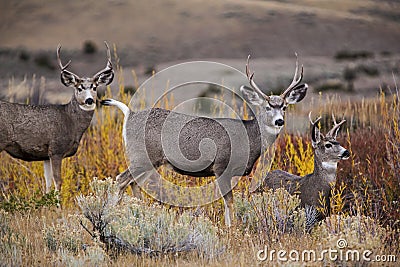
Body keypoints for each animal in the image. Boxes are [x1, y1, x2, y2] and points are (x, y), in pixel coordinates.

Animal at [0, 41, 114, 193]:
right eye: (79, 88)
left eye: (95, 87)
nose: (89, 100)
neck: (70, 121)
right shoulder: (56, 150)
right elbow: (58, 182)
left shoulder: (46, 155)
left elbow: (48, 185)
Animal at [101, 55, 308, 227]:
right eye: (267, 107)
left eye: (285, 107)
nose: (279, 121)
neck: (249, 138)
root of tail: (130, 114)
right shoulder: (221, 166)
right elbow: (229, 202)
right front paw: (232, 230)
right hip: (142, 156)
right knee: (120, 180)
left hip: (151, 161)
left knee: (133, 183)